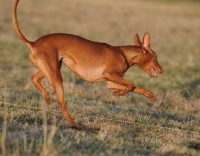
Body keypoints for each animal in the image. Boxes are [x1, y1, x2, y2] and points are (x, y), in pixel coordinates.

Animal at [12, 0, 163, 129]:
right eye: (155, 58)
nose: (162, 71)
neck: (123, 54)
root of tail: (33, 43)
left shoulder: (111, 81)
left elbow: (135, 87)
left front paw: (149, 95)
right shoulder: (110, 74)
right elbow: (131, 85)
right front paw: (119, 94)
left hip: (52, 68)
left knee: (34, 78)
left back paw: (47, 97)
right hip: (56, 75)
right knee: (61, 103)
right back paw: (75, 125)